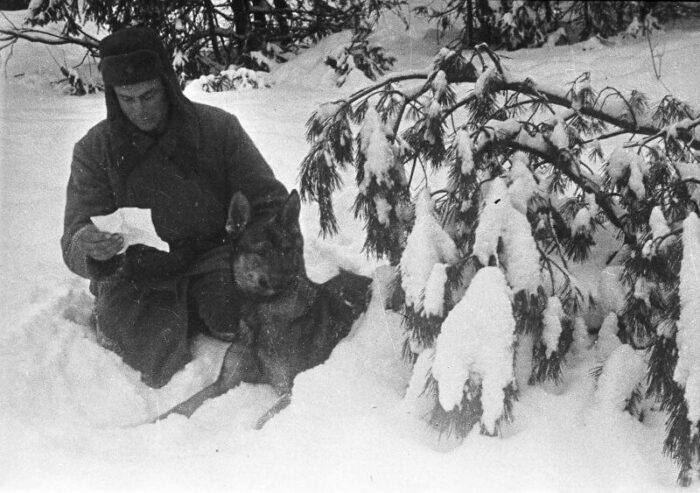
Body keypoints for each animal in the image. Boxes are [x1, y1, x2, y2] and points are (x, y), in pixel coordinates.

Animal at [153, 190, 372, 424]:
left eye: (287, 250)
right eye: (261, 253)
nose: (290, 279)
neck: (259, 316)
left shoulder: (289, 390)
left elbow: (261, 421)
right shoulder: (225, 382)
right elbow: (182, 406)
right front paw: (147, 424)